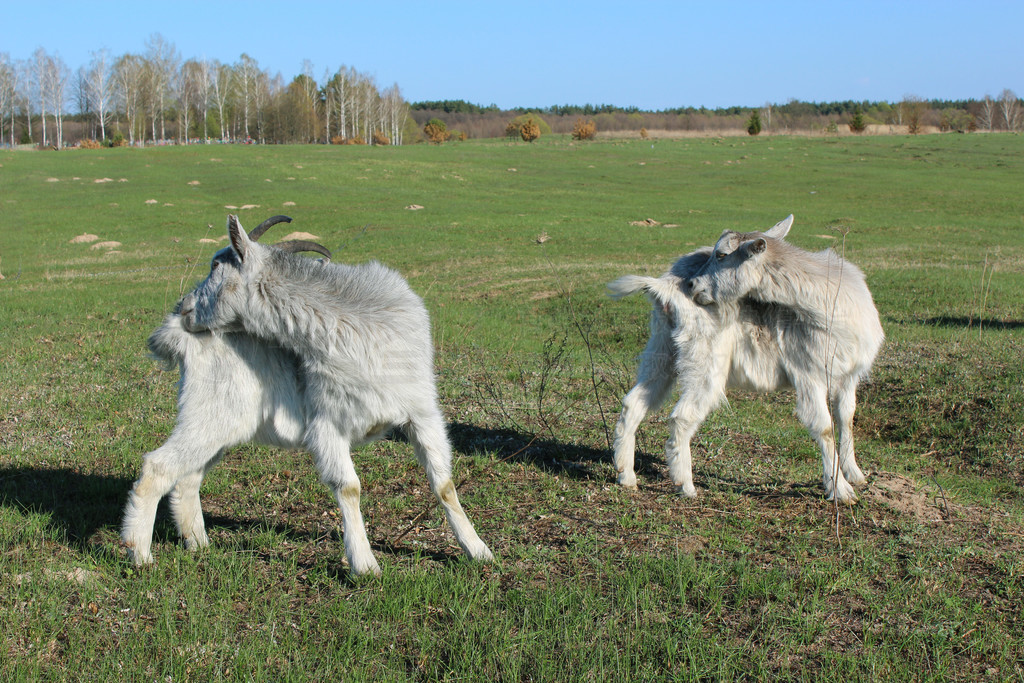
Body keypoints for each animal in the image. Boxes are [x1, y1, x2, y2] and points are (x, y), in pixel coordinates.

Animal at [123, 215, 491, 577]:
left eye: (216, 266)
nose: (184, 308)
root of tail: (178, 338)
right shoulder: (327, 424)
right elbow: (349, 487)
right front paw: (365, 565)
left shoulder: (422, 414)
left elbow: (444, 484)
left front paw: (478, 551)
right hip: (209, 414)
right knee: (158, 467)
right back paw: (139, 554)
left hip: (222, 428)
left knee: (188, 476)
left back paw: (197, 543)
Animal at [610, 216, 884, 505]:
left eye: (721, 254)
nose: (693, 285)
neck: (829, 302)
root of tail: (666, 288)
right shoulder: (808, 374)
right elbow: (824, 428)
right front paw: (841, 489)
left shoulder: (848, 375)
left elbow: (847, 417)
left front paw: (854, 473)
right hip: (704, 362)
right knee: (681, 417)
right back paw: (685, 485)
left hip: (662, 351)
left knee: (634, 403)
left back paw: (626, 475)